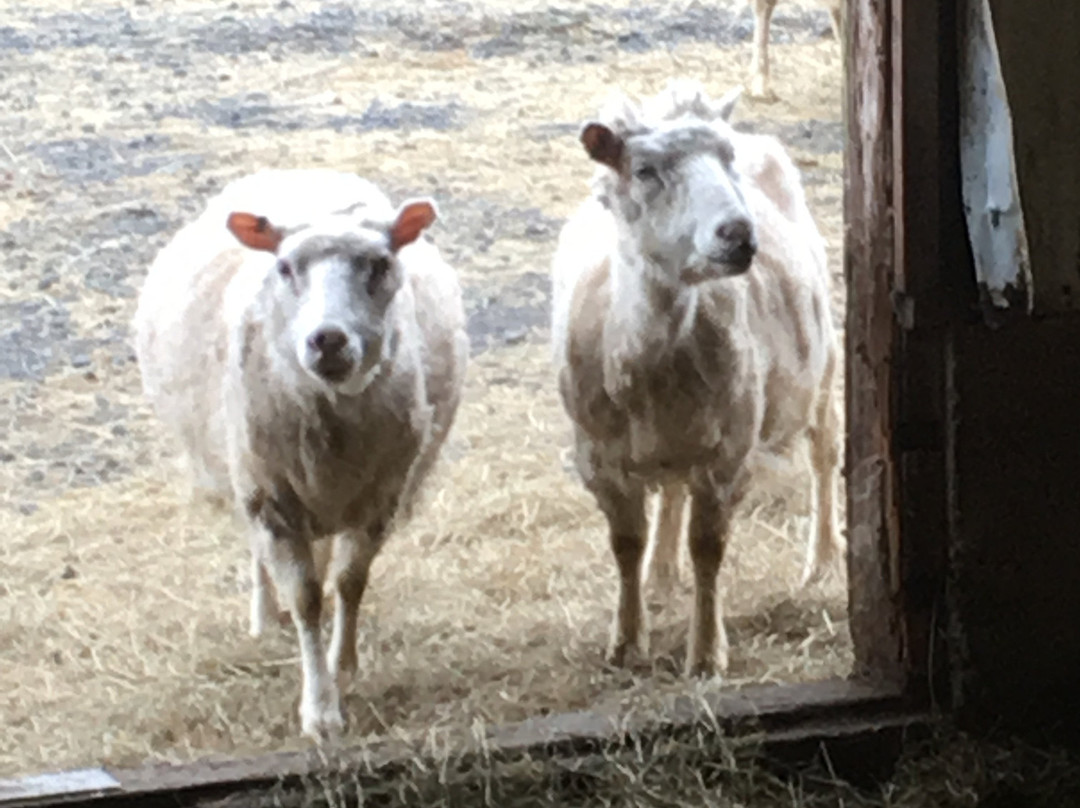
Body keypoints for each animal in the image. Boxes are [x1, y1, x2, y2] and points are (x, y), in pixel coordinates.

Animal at [131, 168, 468, 738]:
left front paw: (342, 666)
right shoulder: (270, 498)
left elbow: (350, 583)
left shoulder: (381, 495)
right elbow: (305, 597)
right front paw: (320, 710)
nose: (327, 340)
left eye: (380, 264)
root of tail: (302, 174)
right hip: (244, 469)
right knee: (261, 555)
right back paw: (265, 615)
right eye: (285, 267)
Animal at [548, 80, 842, 674]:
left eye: (726, 161)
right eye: (643, 170)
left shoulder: (728, 452)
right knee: (671, 491)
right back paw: (661, 575)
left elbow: (708, 548)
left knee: (825, 454)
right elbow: (625, 544)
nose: (739, 233)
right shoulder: (598, 457)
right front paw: (626, 640)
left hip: (820, 368)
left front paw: (706, 653)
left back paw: (823, 559)